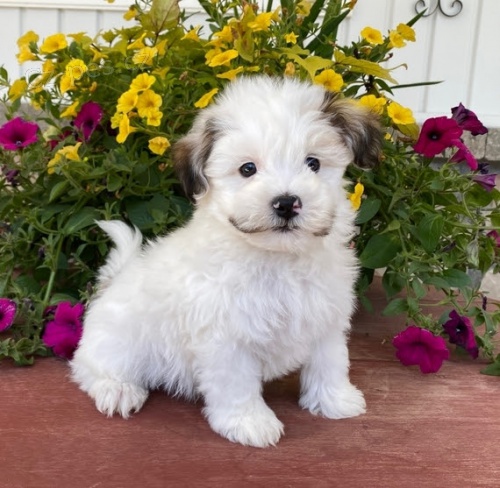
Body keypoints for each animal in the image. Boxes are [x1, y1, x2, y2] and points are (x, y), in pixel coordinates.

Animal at [70, 75, 380, 446]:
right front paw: (249, 422)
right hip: (118, 340)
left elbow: (330, 361)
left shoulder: (325, 316)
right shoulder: (226, 337)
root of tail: (113, 282)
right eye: (248, 169)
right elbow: (237, 383)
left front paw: (335, 400)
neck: (278, 258)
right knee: (89, 367)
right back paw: (117, 389)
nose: (286, 203)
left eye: (313, 163)